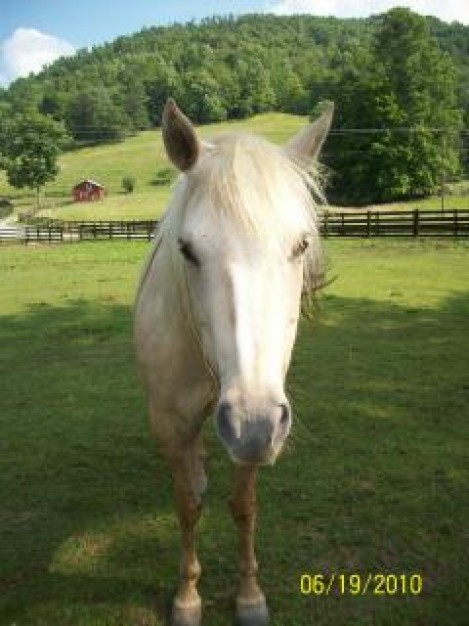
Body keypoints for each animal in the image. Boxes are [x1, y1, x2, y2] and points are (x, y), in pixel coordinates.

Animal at [133, 100, 332, 620]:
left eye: (301, 245)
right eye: (187, 249)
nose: (251, 422)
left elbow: (244, 507)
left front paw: (249, 595)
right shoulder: (171, 423)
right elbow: (187, 507)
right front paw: (187, 597)